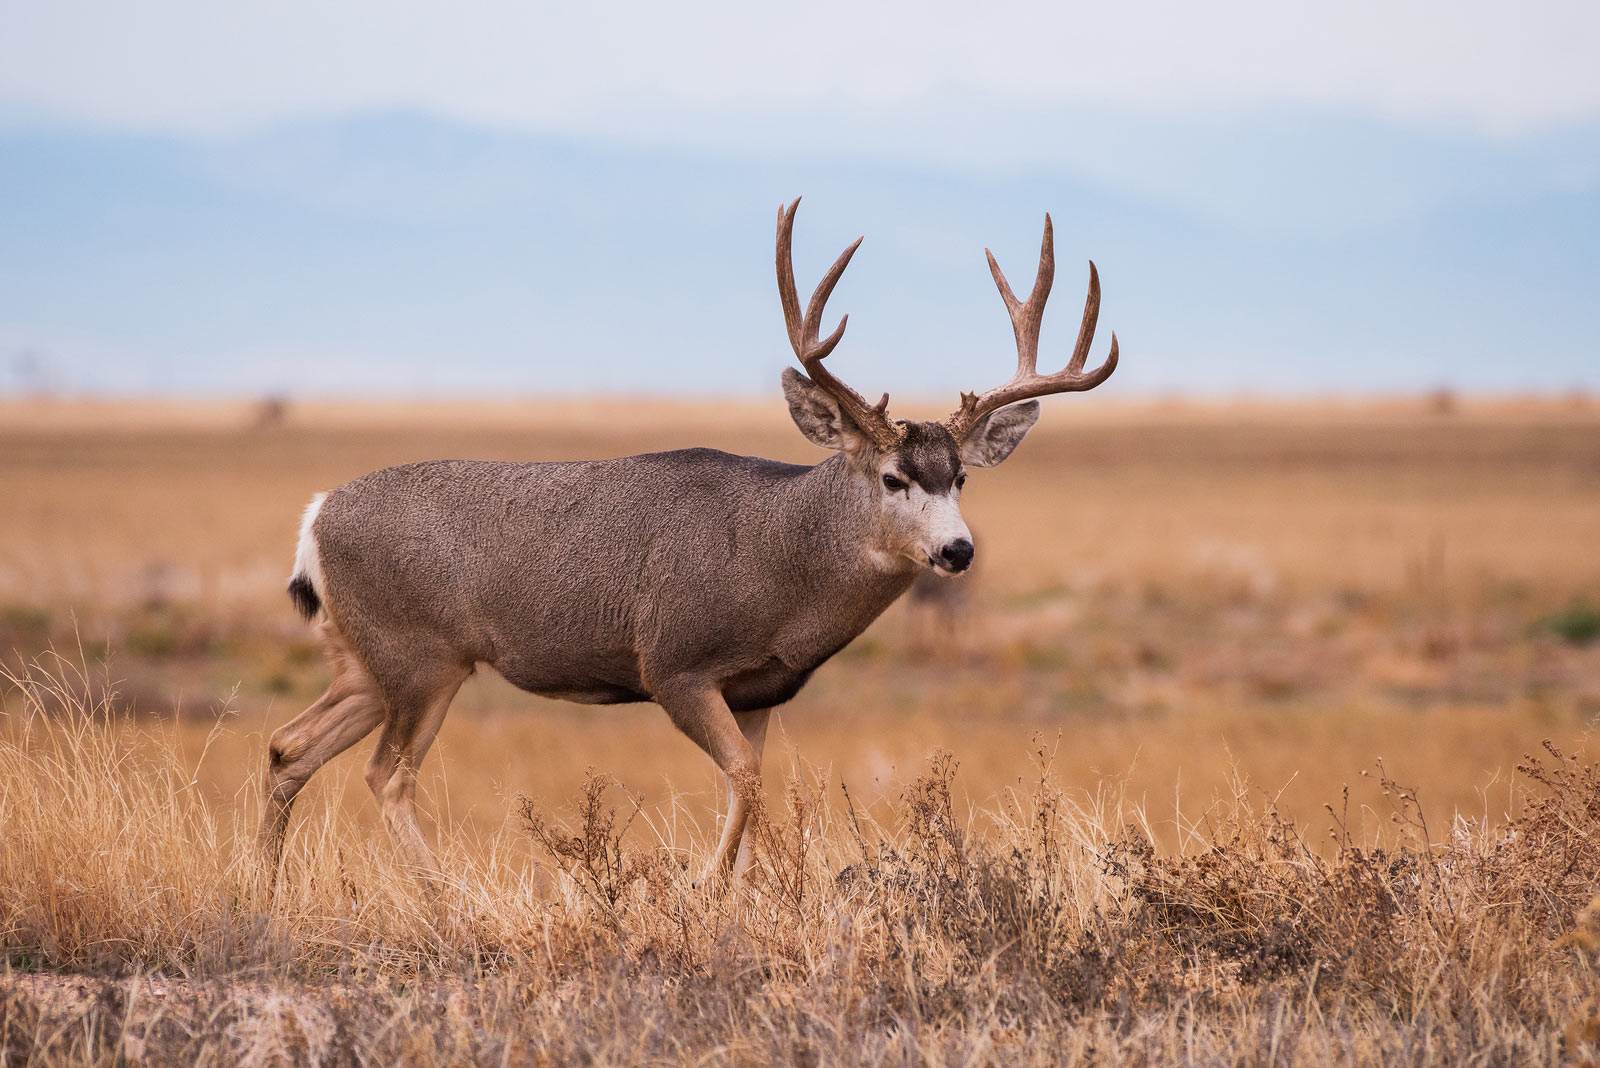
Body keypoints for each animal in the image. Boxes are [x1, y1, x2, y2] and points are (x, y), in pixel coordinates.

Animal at [259, 198, 1118, 887]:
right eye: (892, 477)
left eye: (960, 477)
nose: (958, 553)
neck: (778, 558)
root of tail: (315, 516)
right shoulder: (674, 661)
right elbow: (743, 778)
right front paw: (702, 889)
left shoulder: (760, 690)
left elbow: (755, 779)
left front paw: (743, 892)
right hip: (423, 658)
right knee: (386, 776)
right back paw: (445, 897)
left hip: (368, 660)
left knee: (287, 747)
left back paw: (268, 894)